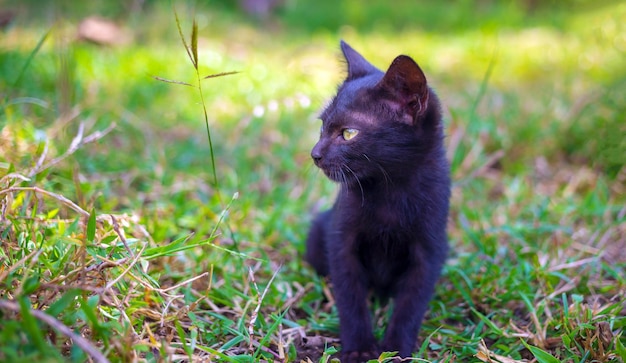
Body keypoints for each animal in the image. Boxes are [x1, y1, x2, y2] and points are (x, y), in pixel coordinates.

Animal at [304, 41, 446, 362]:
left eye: (348, 133)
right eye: (322, 127)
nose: (315, 154)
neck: (389, 189)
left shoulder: (429, 251)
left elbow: (411, 305)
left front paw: (396, 349)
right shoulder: (341, 240)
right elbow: (350, 297)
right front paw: (359, 348)